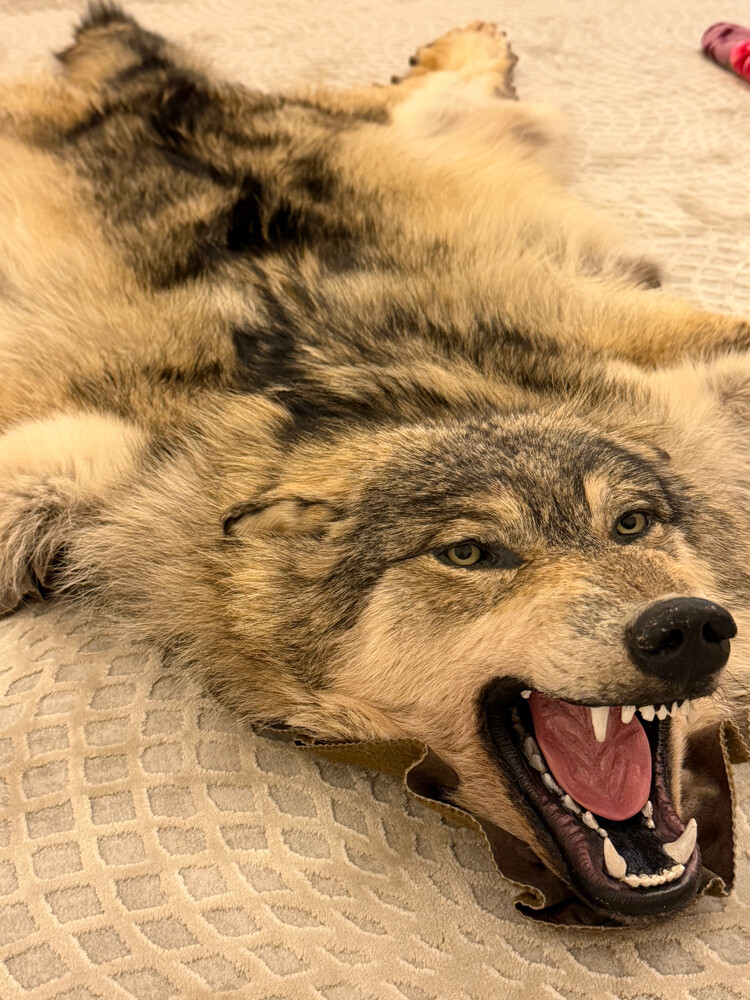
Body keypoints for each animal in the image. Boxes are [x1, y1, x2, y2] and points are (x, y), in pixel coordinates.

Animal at [1, 4, 749, 923]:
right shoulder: (112, 451)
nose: (685, 627)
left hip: (451, 140)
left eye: (633, 523)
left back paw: (473, 40)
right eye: (469, 553)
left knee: (423, 94)